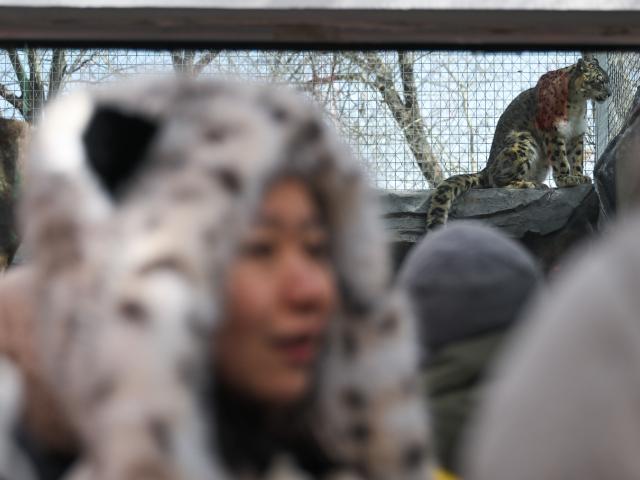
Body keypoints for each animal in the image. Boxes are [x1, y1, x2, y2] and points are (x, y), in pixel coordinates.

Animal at [426, 57, 611, 230]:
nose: (609, 94)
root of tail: (487, 167)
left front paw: (580, 176)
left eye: (608, 80)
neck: (578, 104)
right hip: (523, 141)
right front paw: (566, 179)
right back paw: (528, 184)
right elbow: (560, 158)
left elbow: (577, 158)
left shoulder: (577, 133)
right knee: (497, 182)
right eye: (600, 80)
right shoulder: (552, 131)